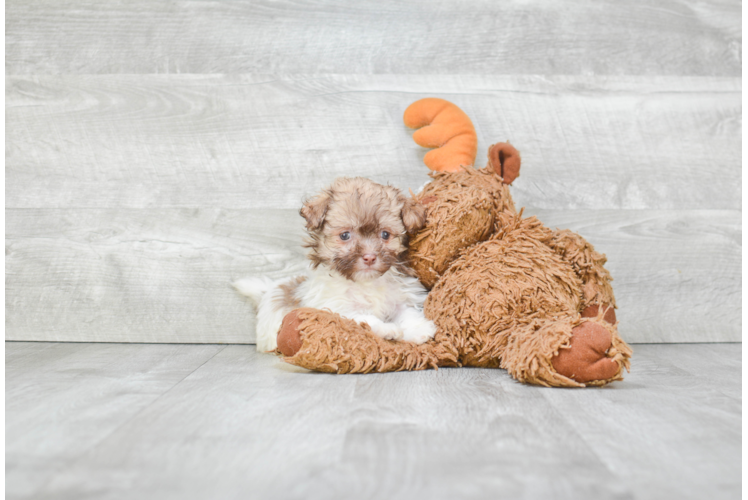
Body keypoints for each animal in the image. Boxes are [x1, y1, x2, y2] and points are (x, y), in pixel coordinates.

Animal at [235, 178, 438, 354]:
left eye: (385, 234)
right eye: (345, 235)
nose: (370, 257)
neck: (366, 283)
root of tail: (269, 290)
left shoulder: (400, 298)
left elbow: (406, 312)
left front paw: (419, 329)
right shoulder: (337, 308)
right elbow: (364, 318)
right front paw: (387, 329)